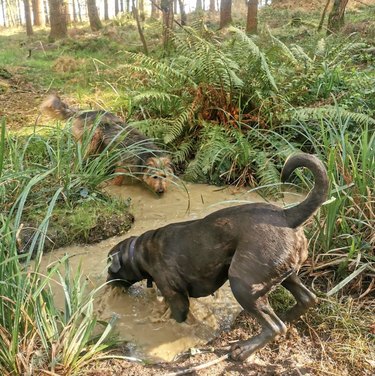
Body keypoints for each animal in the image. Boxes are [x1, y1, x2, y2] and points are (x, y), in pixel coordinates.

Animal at [40, 94, 173, 194]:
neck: (145, 153)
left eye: (164, 176)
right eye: (155, 177)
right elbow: (118, 179)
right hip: (91, 139)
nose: (161, 191)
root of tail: (84, 112)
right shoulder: (123, 166)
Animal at [107, 153, 330, 362]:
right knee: (307, 299)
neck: (139, 252)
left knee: (275, 327)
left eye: (109, 268)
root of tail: (286, 215)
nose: (107, 283)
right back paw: (286, 317)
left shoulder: (176, 297)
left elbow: (178, 318)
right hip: (285, 275)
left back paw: (244, 349)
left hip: (243, 284)